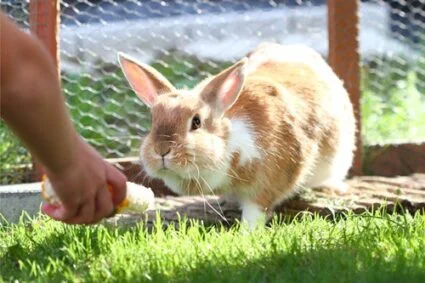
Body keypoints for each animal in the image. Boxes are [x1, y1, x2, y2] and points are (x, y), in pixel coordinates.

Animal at [117, 42, 356, 231]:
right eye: (153, 120)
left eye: (196, 122)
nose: (162, 150)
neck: (229, 145)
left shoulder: (268, 182)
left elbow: (256, 211)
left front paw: (247, 233)